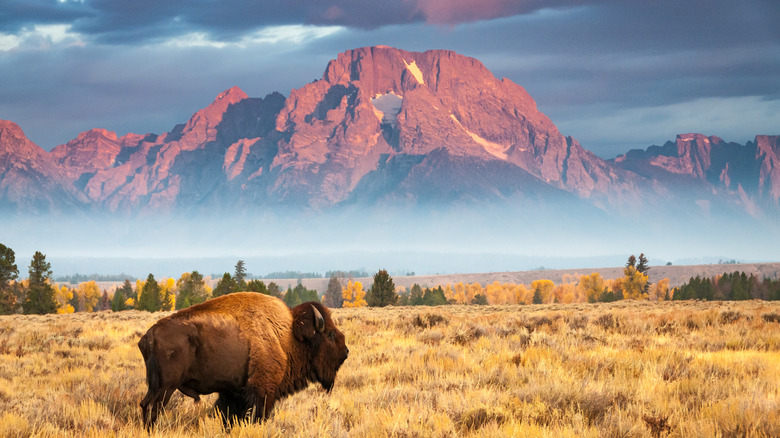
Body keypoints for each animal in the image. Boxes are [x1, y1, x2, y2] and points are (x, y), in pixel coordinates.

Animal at [138, 292, 349, 428]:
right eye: (330, 334)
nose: (345, 352)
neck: (288, 336)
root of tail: (150, 335)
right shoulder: (262, 391)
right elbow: (257, 415)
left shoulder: (233, 391)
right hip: (165, 387)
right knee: (152, 408)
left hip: (156, 386)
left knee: (145, 405)